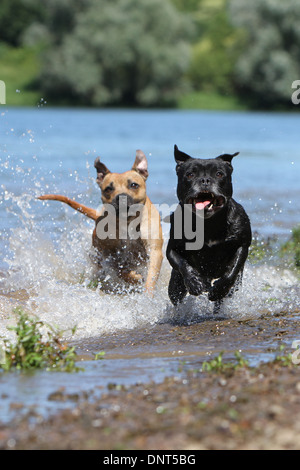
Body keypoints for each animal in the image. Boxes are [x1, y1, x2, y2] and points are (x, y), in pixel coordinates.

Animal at [39, 151, 164, 296]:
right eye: (108, 188)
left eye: (133, 185)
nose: (121, 197)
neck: (127, 223)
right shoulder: (109, 256)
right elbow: (120, 270)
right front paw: (135, 278)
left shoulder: (154, 251)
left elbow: (151, 276)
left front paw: (148, 293)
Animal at [166, 143, 251, 312]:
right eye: (190, 174)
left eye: (219, 174)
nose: (205, 180)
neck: (208, 223)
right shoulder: (172, 249)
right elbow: (181, 263)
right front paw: (194, 282)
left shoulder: (242, 244)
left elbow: (232, 269)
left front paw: (219, 289)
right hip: (175, 285)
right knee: (176, 295)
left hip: (236, 285)